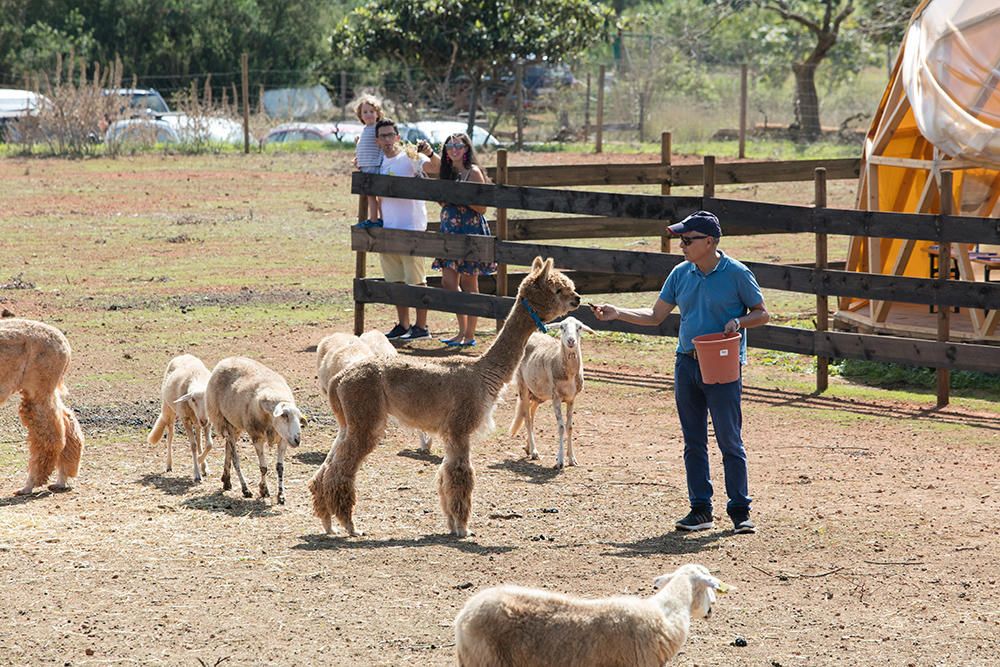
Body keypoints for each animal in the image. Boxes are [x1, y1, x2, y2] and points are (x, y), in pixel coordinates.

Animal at [0, 318, 84, 496]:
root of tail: (65, 345)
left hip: (39, 386)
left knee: (52, 435)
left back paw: (29, 485)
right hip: (44, 389)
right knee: (67, 420)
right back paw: (61, 481)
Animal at [207, 358, 304, 504]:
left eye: (299, 418)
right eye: (284, 415)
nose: (297, 440)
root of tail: (227, 359)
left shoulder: (283, 439)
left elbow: (280, 467)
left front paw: (281, 495)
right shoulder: (257, 436)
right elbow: (263, 468)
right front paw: (263, 490)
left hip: (235, 424)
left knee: (228, 448)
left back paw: (226, 480)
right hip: (222, 420)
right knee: (235, 457)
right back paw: (245, 488)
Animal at [508, 316, 592, 468]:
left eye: (579, 327)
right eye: (562, 327)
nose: (571, 340)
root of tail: (533, 335)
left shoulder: (571, 399)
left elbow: (569, 427)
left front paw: (572, 459)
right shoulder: (556, 397)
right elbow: (561, 427)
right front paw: (560, 460)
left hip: (538, 393)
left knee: (531, 414)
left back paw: (528, 447)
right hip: (523, 387)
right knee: (527, 418)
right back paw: (534, 451)